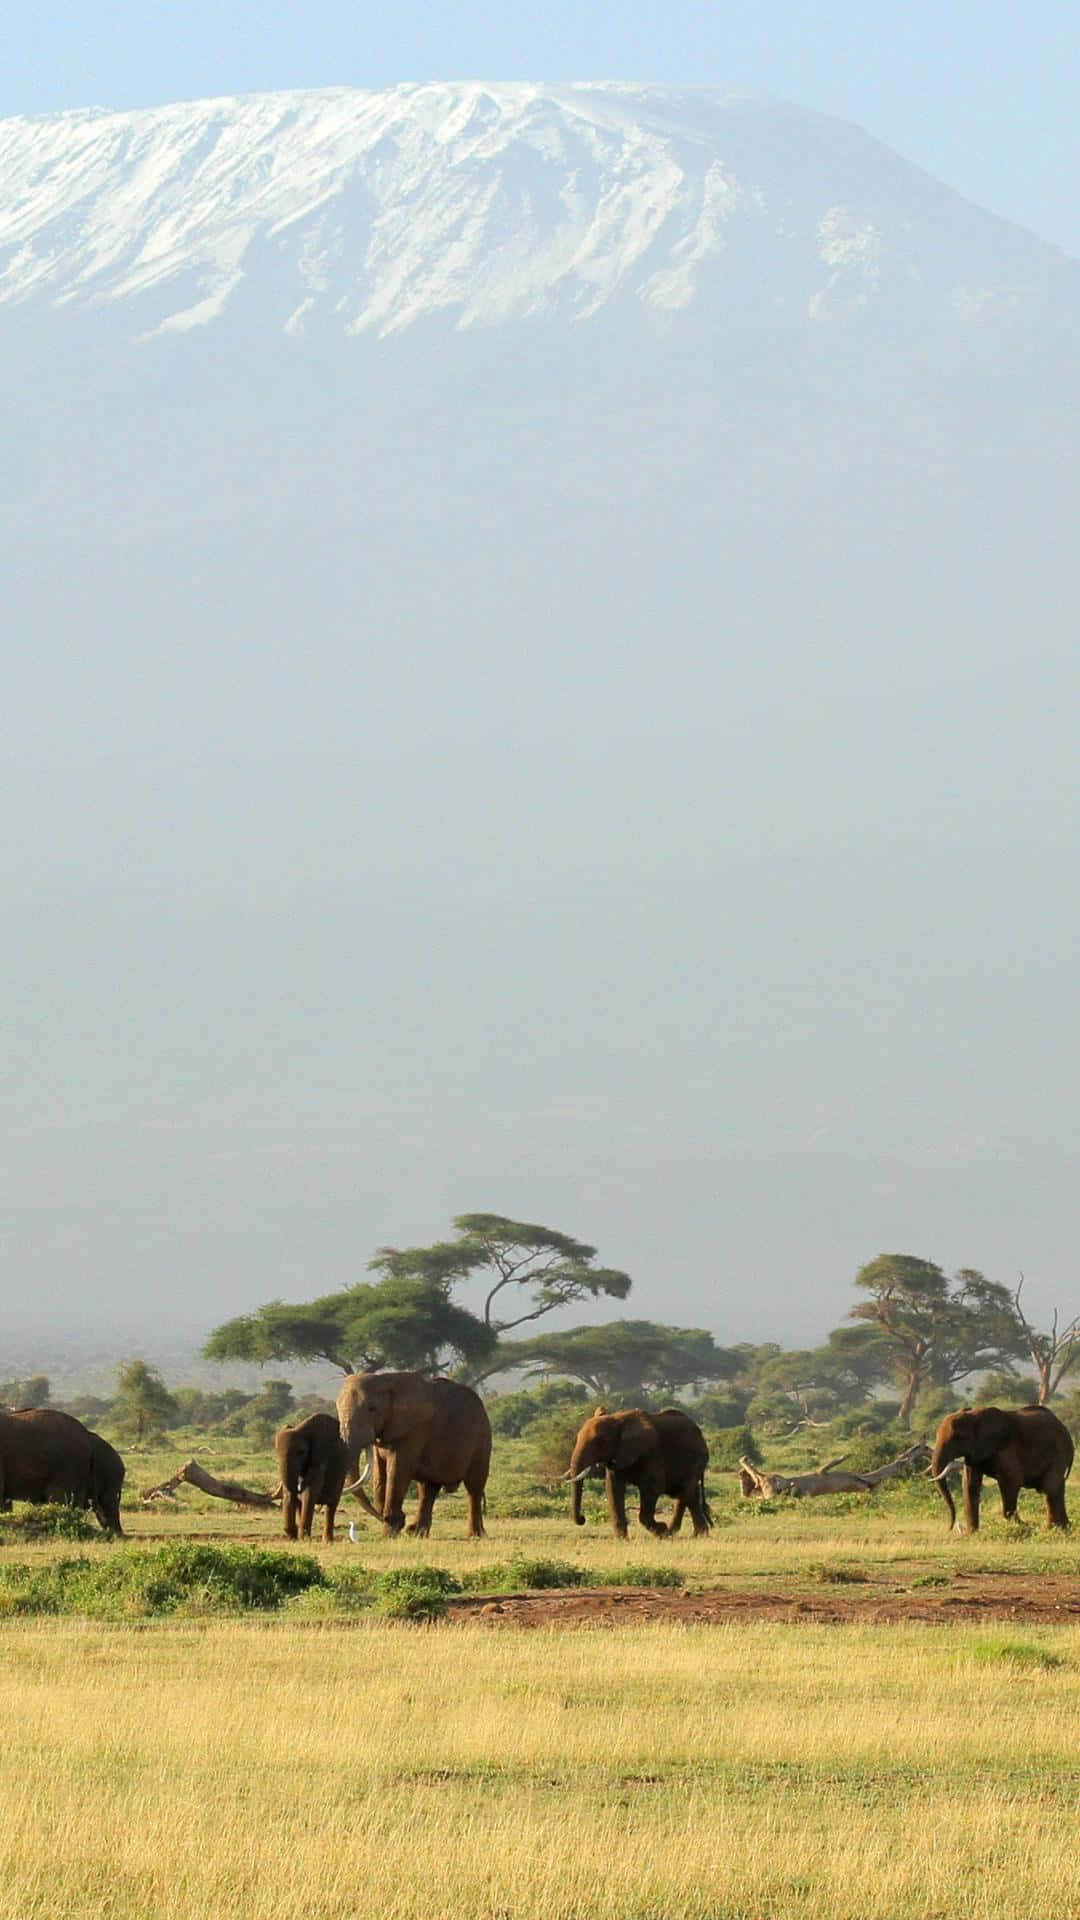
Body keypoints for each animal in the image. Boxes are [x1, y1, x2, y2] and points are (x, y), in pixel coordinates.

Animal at [274, 1412, 348, 1543]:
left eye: (301, 1452)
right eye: (276, 1452)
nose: (292, 1534)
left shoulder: (320, 1456)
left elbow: (309, 1491)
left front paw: (303, 1539)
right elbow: (291, 1493)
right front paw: (297, 1538)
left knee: (331, 1505)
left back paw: (327, 1541)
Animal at [337, 1371, 491, 1538]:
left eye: (372, 1409)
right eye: (337, 1408)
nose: (383, 1517)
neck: (385, 1380)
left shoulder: (414, 1431)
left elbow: (397, 1470)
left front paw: (390, 1533)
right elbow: (379, 1471)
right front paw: (392, 1527)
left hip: (482, 1438)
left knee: (474, 1487)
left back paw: (475, 1535)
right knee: (427, 1489)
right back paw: (416, 1533)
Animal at [565, 1407, 711, 1539]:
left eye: (599, 1441)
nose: (583, 1519)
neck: (617, 1419)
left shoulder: (650, 1453)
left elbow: (653, 1487)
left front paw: (661, 1530)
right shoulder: (617, 1455)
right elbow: (613, 1489)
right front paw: (622, 1540)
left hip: (696, 1460)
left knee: (686, 1493)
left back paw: (674, 1534)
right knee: (690, 1496)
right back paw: (695, 1535)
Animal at [928, 1404, 1073, 1532]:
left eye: (958, 1437)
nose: (949, 1528)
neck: (974, 1416)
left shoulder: (1005, 1447)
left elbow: (1011, 1481)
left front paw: (1022, 1527)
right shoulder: (974, 1453)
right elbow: (970, 1486)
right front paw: (970, 1535)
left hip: (1060, 1451)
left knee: (1049, 1488)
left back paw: (1050, 1529)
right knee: (1056, 1488)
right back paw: (1064, 1528)